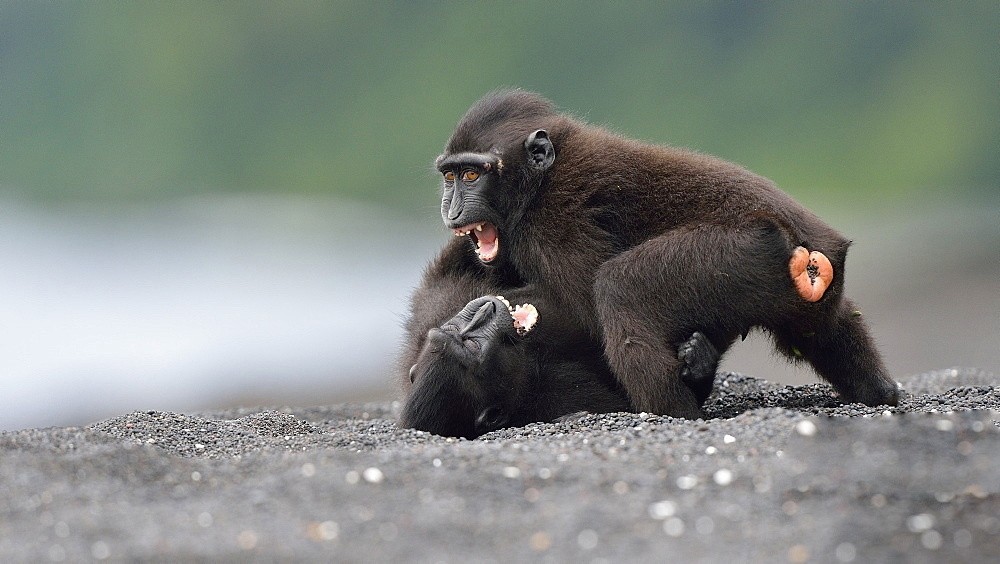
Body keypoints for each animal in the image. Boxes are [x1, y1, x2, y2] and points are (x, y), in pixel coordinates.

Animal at [398, 88, 900, 434]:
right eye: (449, 177)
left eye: (470, 175)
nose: (449, 208)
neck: (540, 182)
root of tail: (812, 252)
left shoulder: (557, 220)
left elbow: (587, 316)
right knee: (827, 326)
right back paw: (878, 393)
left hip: (747, 252)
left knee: (620, 288)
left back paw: (673, 413)